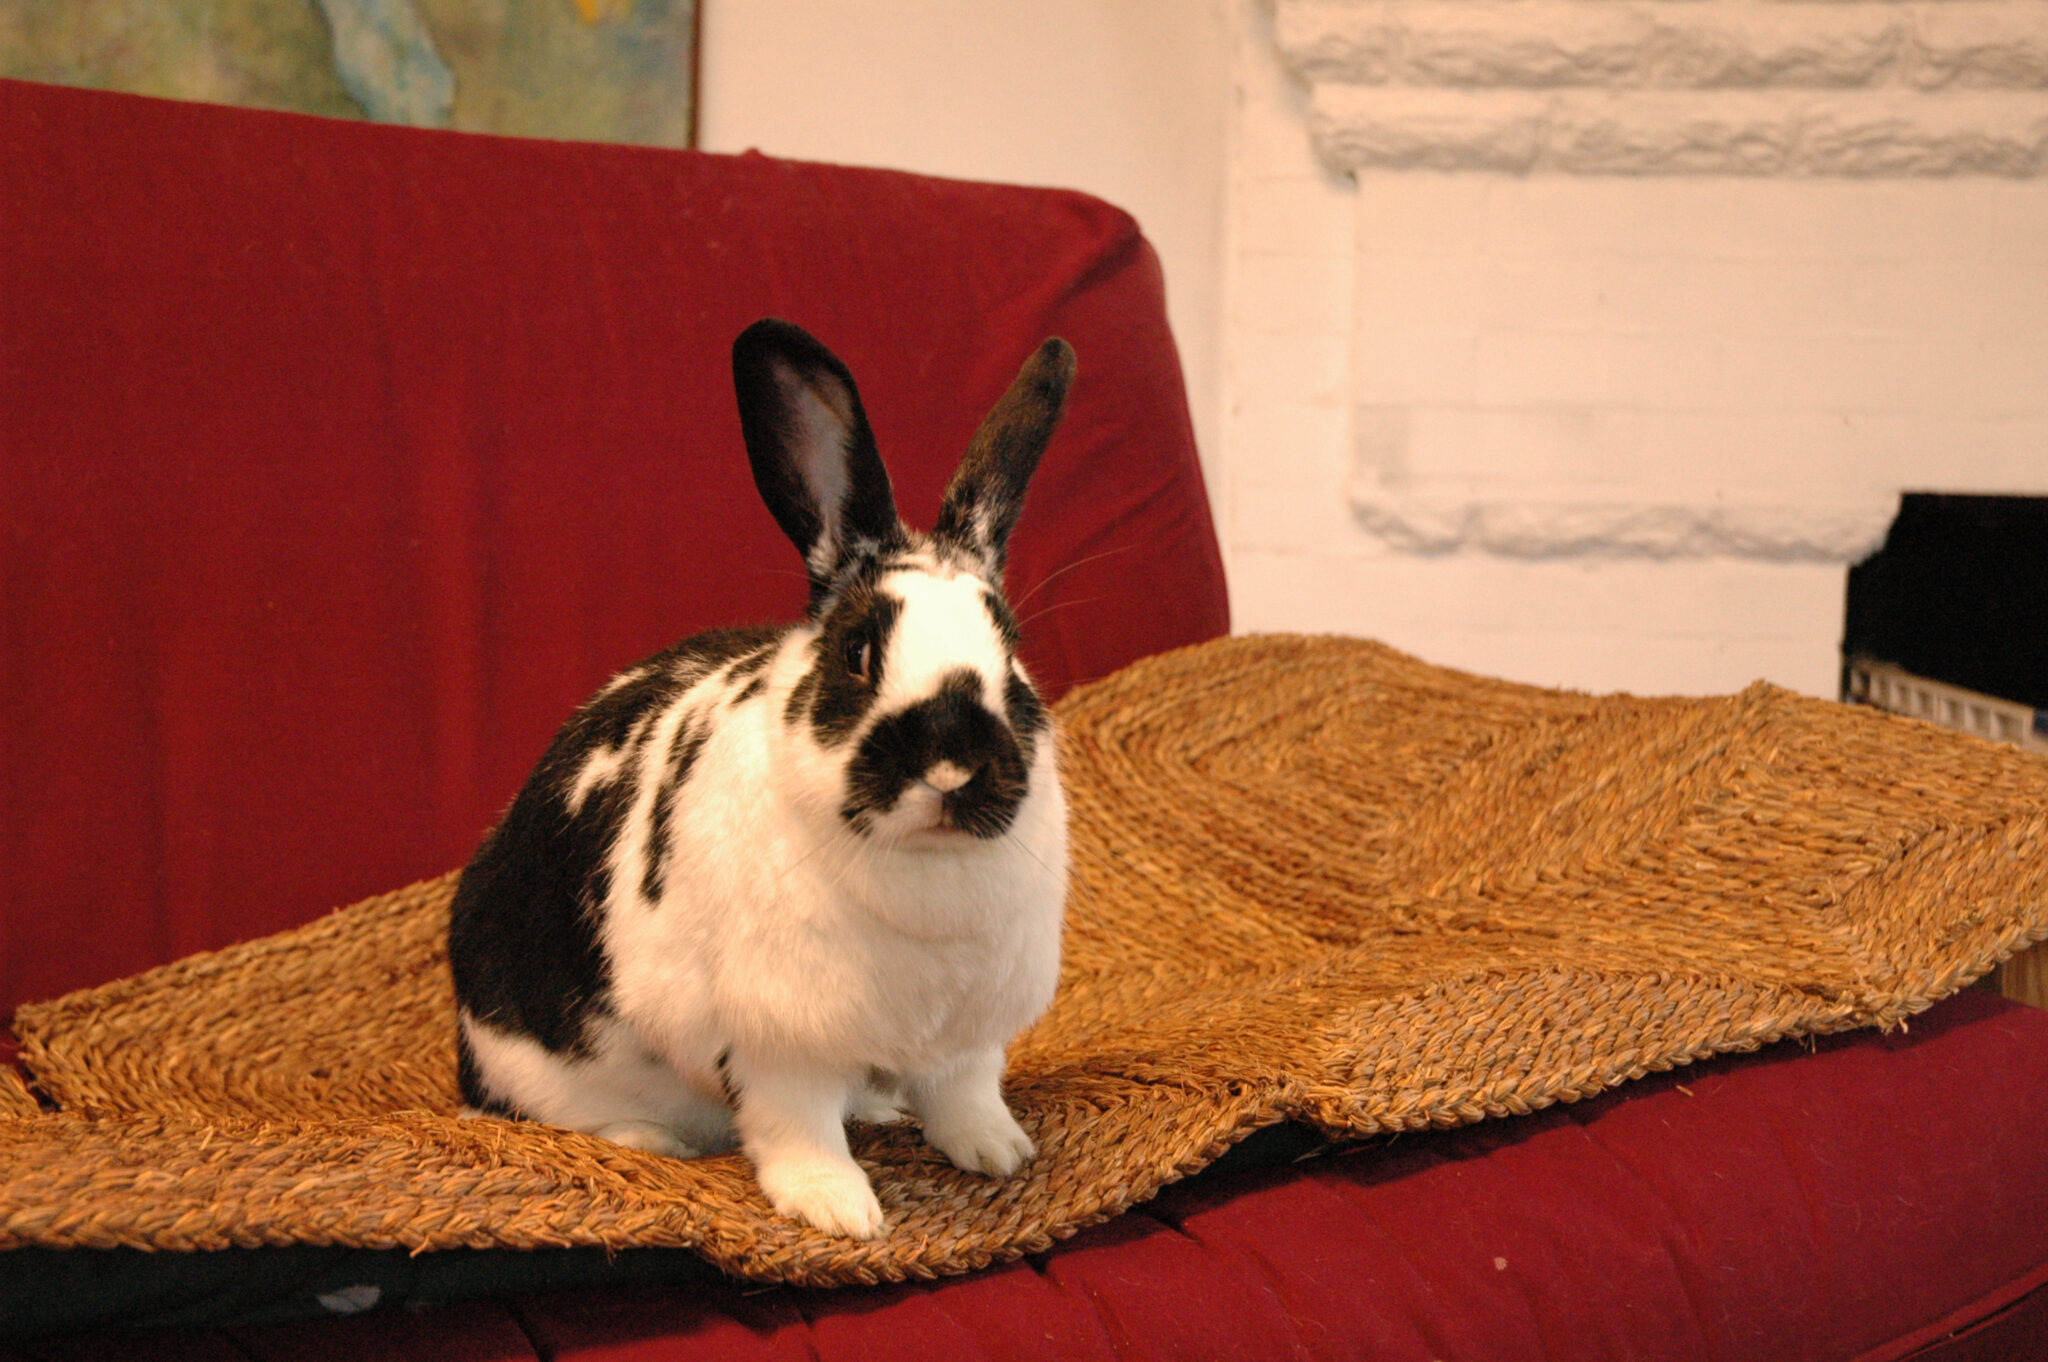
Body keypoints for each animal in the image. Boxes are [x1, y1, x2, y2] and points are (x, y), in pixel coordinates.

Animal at [447, 318, 1074, 1240]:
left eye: (1013, 648)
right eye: (857, 654)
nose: (954, 767)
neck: (921, 871)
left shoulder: (964, 1035)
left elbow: (964, 1093)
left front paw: (1000, 1152)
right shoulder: (776, 1041)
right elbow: (796, 1126)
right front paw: (839, 1210)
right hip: (534, 1063)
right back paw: (651, 1140)